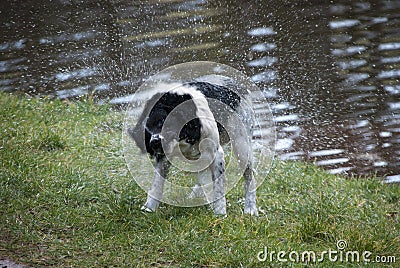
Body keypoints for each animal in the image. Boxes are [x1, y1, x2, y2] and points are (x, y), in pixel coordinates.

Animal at [129, 81, 260, 216]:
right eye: (146, 133)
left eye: (162, 122)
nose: (155, 142)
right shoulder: (163, 157)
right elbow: (157, 184)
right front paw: (149, 208)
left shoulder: (215, 153)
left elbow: (218, 188)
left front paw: (220, 213)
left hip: (242, 146)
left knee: (250, 178)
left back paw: (250, 208)